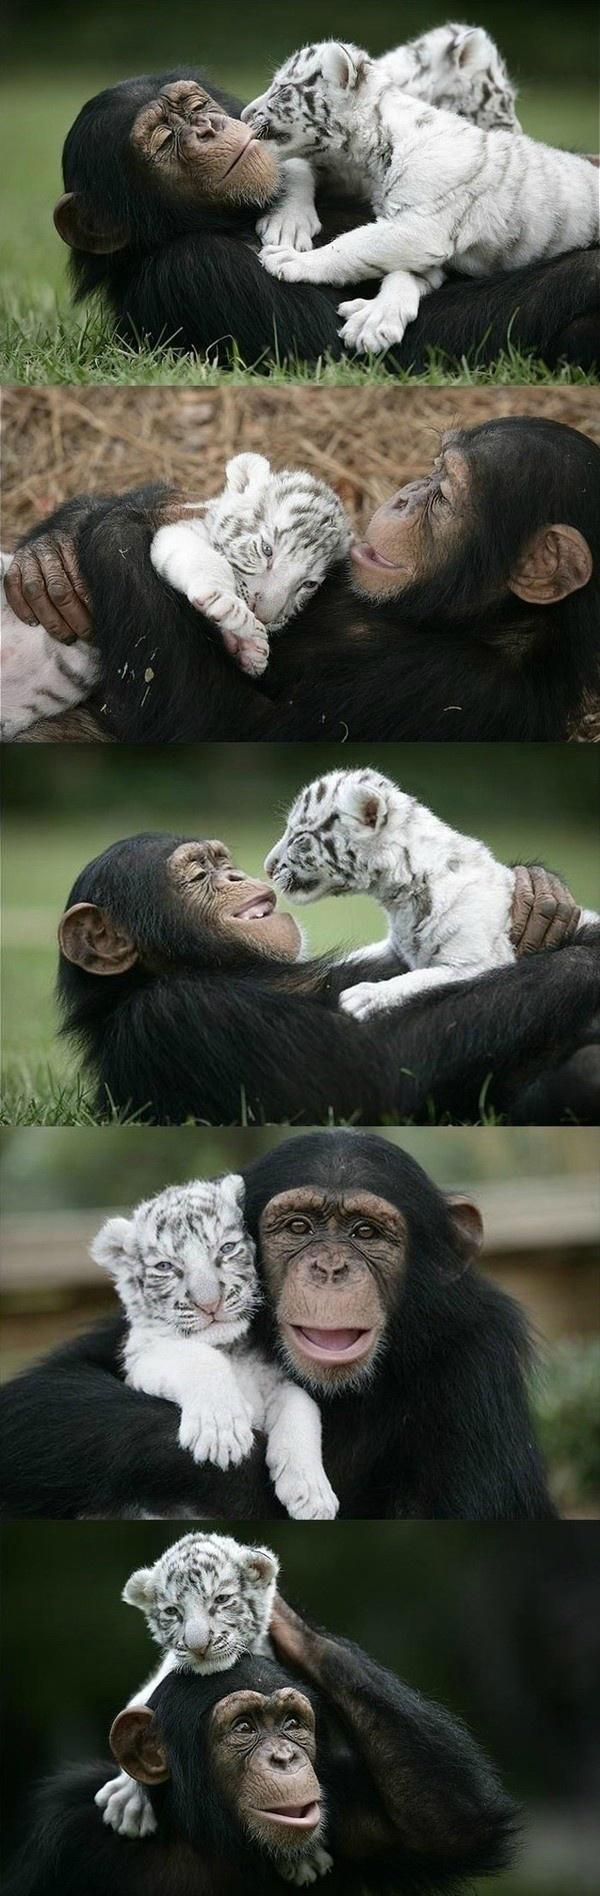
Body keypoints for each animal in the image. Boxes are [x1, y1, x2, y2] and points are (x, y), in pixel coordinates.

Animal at [0, 1130, 558, 1516]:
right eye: (299, 1226)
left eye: (366, 1232)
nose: (330, 1267)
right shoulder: (136, 1341)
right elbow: (43, 1399)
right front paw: (226, 1436)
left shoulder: (479, 1364)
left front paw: (303, 1481)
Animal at [4, 1592, 516, 1888]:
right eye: (245, 1728)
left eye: (290, 1722)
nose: (285, 1757)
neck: (214, 1840)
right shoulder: (69, 1837)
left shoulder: (354, 1810)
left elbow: (449, 1826)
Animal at [5, 420, 600, 739]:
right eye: (437, 478)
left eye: (308, 586)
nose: (406, 496)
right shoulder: (186, 534)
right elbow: (184, 549)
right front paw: (55, 559)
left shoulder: (470, 696)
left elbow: (229, 725)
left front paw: (246, 643)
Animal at [52, 834, 600, 1122]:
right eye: (196, 875)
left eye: (221, 861)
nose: (235, 877)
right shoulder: (179, 1017)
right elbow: (371, 1081)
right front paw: (583, 960)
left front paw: (538, 896)